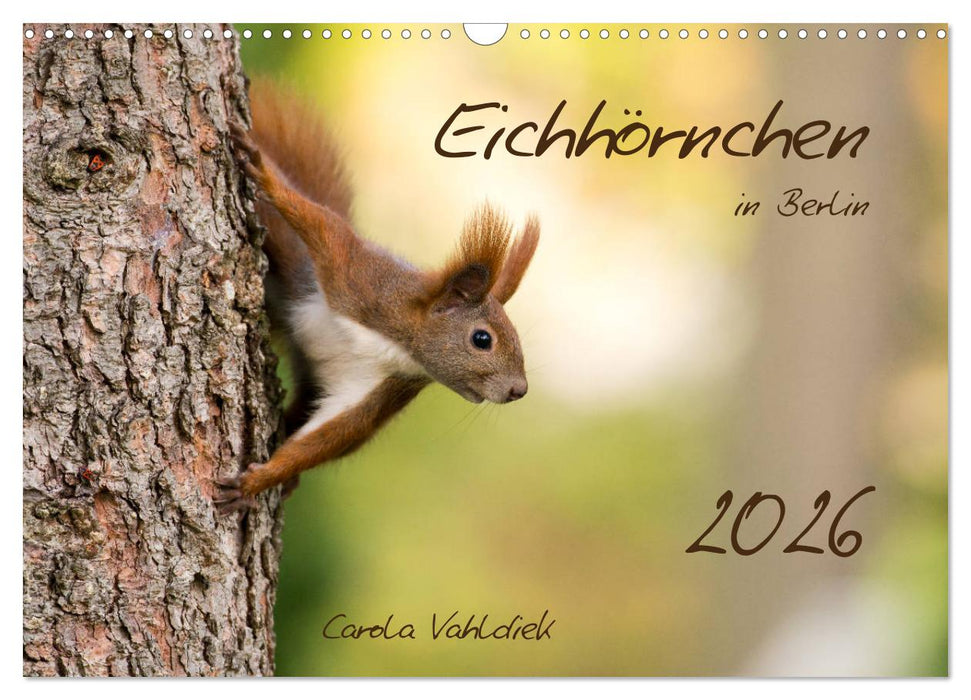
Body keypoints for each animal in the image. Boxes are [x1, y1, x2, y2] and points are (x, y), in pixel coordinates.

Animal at [215, 79, 540, 511]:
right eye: (482, 339)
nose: (519, 390)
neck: (395, 343)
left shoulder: (380, 389)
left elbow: (336, 436)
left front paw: (260, 480)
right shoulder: (358, 277)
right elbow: (322, 224)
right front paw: (266, 176)